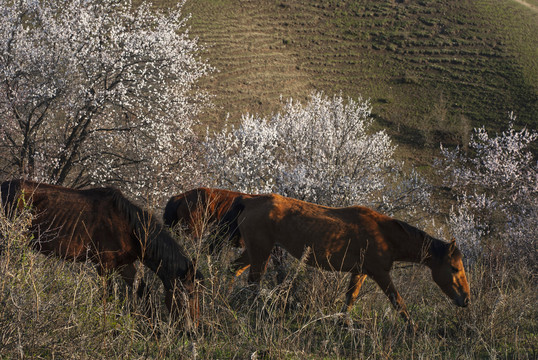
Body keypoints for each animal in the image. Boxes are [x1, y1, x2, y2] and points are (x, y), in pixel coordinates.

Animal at [1, 180, 202, 330]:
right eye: (190, 295)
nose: (192, 331)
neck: (128, 226)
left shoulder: (125, 265)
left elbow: (145, 293)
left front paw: (154, 331)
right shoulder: (104, 265)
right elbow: (107, 297)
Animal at [220, 193, 466, 324]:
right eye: (454, 268)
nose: (466, 300)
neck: (384, 234)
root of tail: (250, 200)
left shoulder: (360, 272)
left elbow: (350, 298)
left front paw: (343, 322)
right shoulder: (380, 274)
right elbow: (398, 302)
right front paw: (412, 329)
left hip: (256, 251)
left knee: (233, 271)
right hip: (261, 252)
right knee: (253, 282)